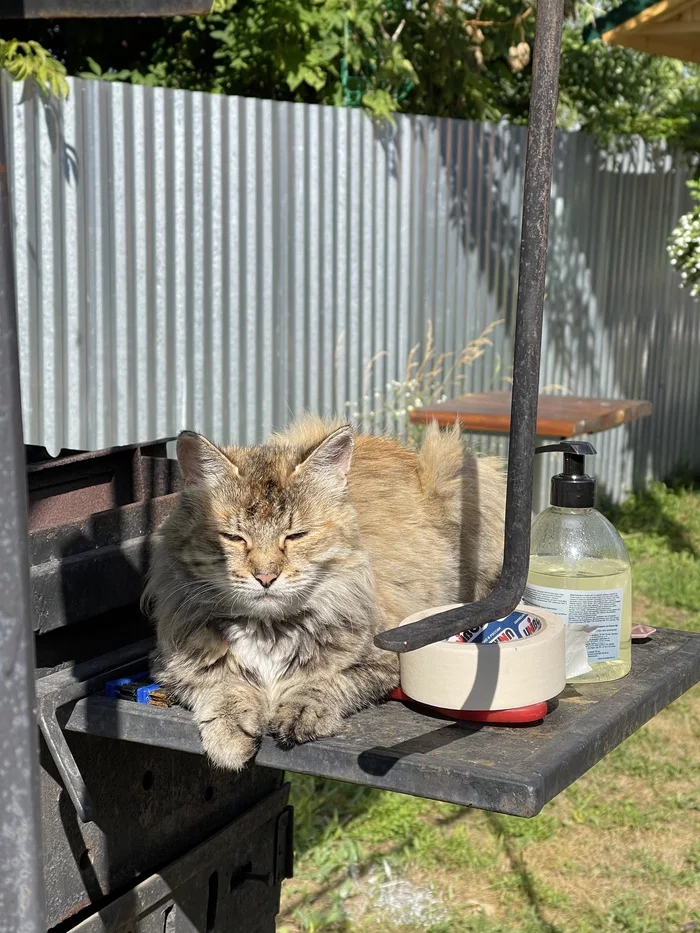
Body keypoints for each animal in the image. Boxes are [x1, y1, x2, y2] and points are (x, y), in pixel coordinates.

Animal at [144, 418, 504, 768]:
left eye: (296, 536)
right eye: (233, 538)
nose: (265, 576)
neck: (268, 629)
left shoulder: (382, 663)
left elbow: (322, 682)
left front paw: (299, 712)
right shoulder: (176, 664)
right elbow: (223, 686)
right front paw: (229, 735)